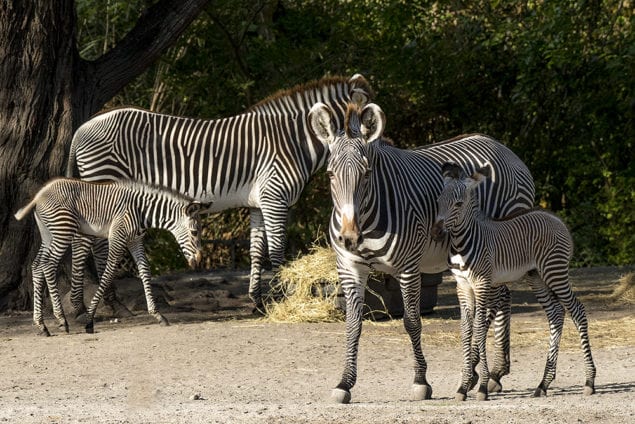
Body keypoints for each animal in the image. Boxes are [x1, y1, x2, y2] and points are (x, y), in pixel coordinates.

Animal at [14, 177, 207, 336]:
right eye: (194, 232)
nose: (198, 260)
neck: (142, 210)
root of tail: (39, 196)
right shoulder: (117, 237)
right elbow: (107, 274)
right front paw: (89, 320)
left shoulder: (135, 240)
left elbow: (145, 270)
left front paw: (158, 315)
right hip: (63, 231)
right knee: (48, 265)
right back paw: (61, 320)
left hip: (48, 234)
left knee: (37, 266)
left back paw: (41, 325)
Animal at [64, 74, 372, 312]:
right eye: (370, 123)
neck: (294, 141)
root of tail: (82, 127)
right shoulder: (275, 198)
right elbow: (277, 250)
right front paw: (281, 299)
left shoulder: (259, 203)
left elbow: (256, 251)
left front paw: (257, 302)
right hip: (104, 183)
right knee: (95, 244)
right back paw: (110, 304)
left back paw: (86, 305)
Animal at [308, 102, 536, 404]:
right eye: (330, 175)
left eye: (367, 174)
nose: (349, 237)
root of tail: (503, 148)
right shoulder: (349, 268)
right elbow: (353, 324)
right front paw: (344, 383)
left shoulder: (408, 267)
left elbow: (412, 322)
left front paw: (420, 381)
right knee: (503, 299)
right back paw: (491, 373)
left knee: (496, 302)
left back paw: (486, 374)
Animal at [432, 162, 596, 400]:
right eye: (438, 201)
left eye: (458, 204)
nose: (435, 232)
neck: (462, 244)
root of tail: (556, 219)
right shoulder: (462, 286)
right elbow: (466, 331)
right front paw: (463, 387)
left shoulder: (482, 283)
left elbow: (479, 329)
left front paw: (482, 387)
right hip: (536, 276)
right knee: (556, 314)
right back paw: (543, 384)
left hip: (554, 272)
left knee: (577, 311)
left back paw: (590, 381)